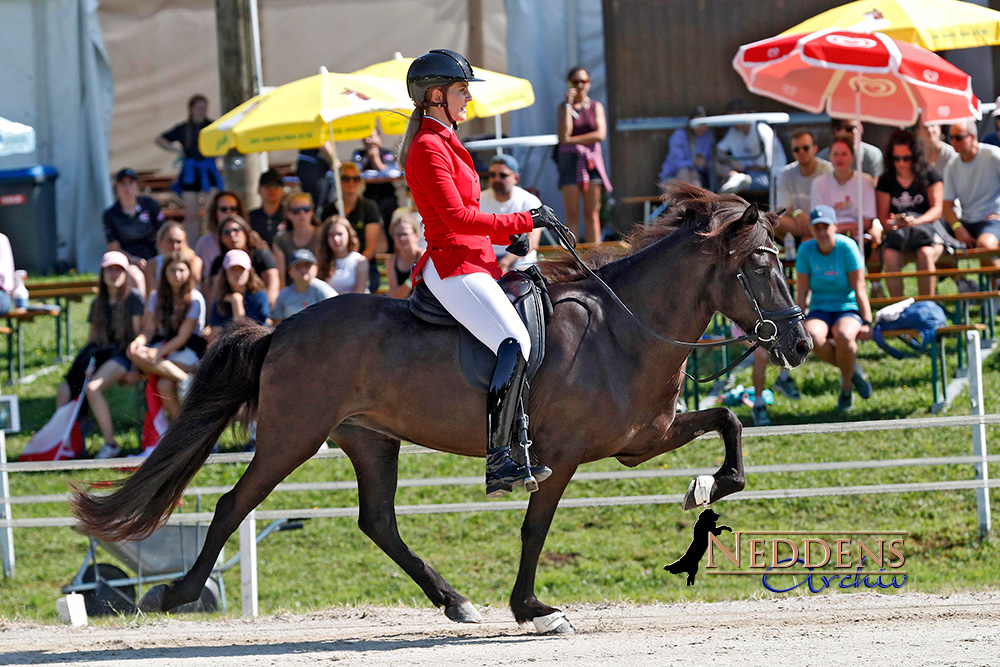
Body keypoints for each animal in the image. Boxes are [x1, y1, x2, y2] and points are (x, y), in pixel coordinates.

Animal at [76, 184, 812, 636]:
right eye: (761, 265)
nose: (801, 343)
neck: (624, 325)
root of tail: (280, 328)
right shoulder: (564, 455)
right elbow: (535, 529)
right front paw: (533, 608)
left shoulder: (643, 438)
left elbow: (729, 425)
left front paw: (704, 486)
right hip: (292, 437)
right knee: (235, 503)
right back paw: (177, 593)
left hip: (370, 439)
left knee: (377, 521)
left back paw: (453, 600)